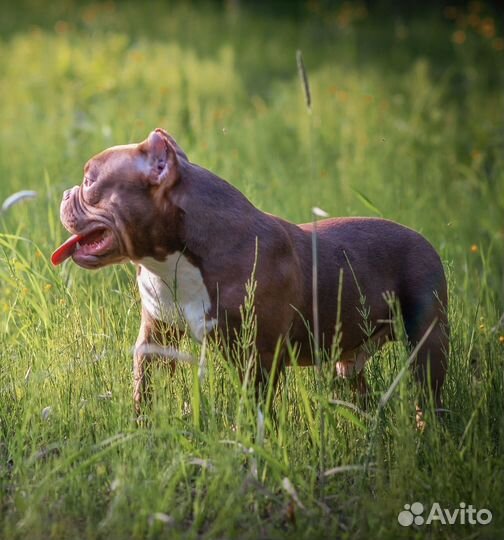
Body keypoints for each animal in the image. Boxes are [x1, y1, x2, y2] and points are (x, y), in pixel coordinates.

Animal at [54, 130, 448, 418]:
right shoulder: (156, 337)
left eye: (89, 182)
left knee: (428, 393)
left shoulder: (256, 356)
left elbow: (254, 406)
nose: (65, 192)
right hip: (350, 361)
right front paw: (142, 427)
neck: (175, 260)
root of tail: (424, 239)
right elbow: (145, 387)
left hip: (427, 340)